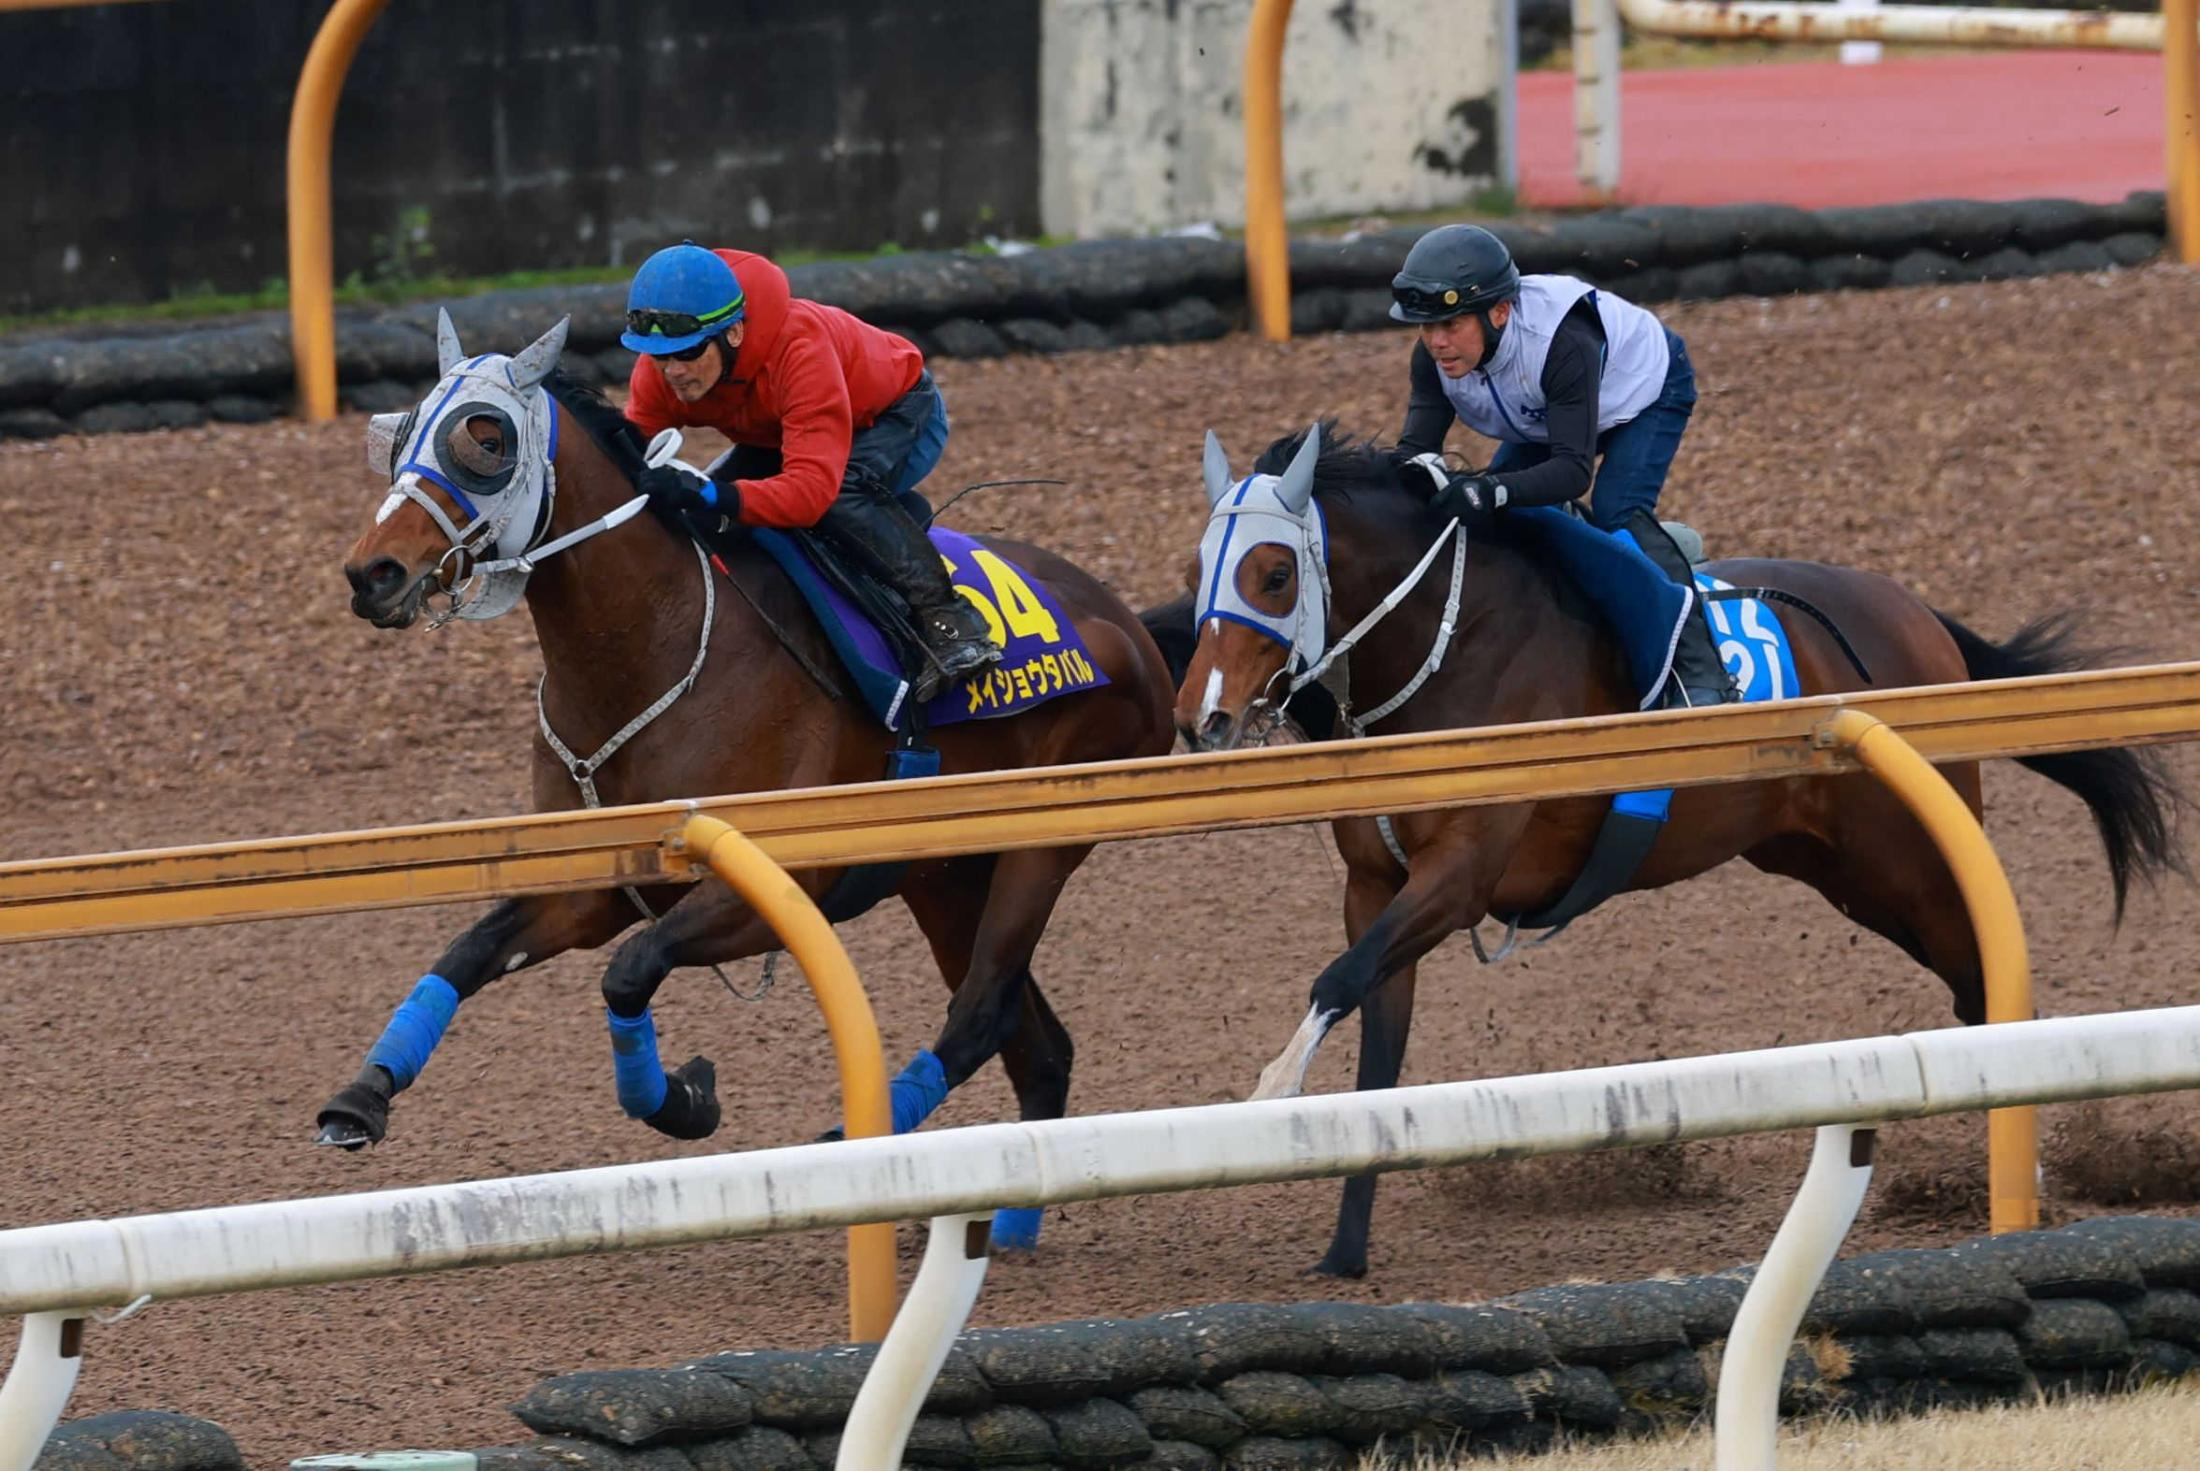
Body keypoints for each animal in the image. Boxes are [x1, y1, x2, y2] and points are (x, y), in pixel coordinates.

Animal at [321, 311, 1177, 1248]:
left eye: (485, 437)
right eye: (403, 428)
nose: (374, 572)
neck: (652, 653)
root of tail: (1126, 620)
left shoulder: (780, 885)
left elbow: (630, 968)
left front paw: (684, 1096)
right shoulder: (595, 884)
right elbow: (469, 950)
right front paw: (362, 1094)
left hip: (1042, 842)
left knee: (982, 1008)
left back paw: (850, 1147)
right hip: (942, 876)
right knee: (1036, 1041)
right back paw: (1007, 1223)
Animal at [1149, 422, 2187, 1279]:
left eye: (1274, 572)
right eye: (1200, 566)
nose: (1201, 717)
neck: (1450, 648)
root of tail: (1915, 611)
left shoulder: (1460, 874)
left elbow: (1336, 980)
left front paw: (1269, 1093)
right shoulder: (1378, 883)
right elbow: (1375, 1040)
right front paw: (1344, 1246)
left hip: (1910, 860)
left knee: (1984, 976)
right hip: (1838, 868)